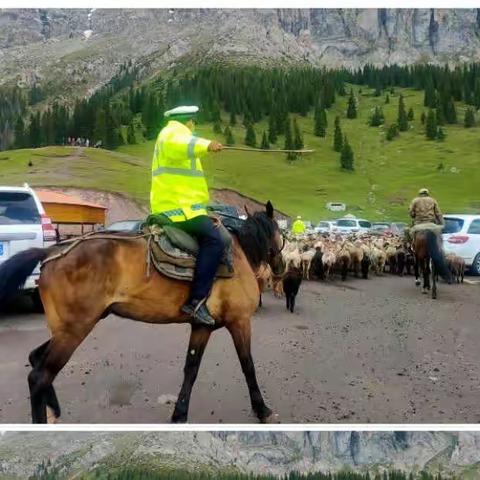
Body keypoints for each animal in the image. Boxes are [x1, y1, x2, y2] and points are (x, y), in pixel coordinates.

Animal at [0, 202, 284, 424]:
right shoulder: (240, 321)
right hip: (74, 330)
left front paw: (179, 414)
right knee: (39, 376)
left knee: (36, 358)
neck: (239, 254)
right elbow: (248, 365)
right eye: (281, 234)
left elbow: (191, 369)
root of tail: (51, 251)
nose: (280, 268)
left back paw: (54, 410)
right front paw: (263, 409)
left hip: (68, 327)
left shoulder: (202, 326)